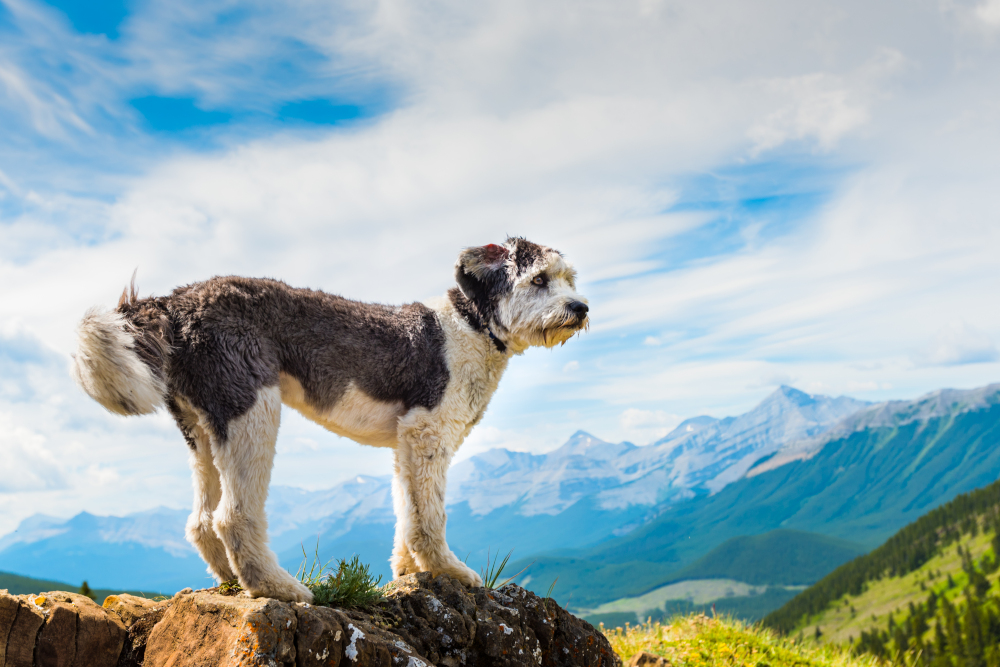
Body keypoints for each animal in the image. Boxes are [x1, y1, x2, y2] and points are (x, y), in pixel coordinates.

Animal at [72, 237, 584, 604]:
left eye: (568, 278)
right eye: (539, 279)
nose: (580, 308)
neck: (470, 326)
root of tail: (174, 303)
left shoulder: (406, 443)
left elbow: (408, 511)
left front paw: (409, 572)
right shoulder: (428, 432)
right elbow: (430, 515)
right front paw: (448, 570)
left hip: (201, 425)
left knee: (200, 521)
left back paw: (232, 581)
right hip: (251, 407)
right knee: (233, 516)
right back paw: (278, 588)